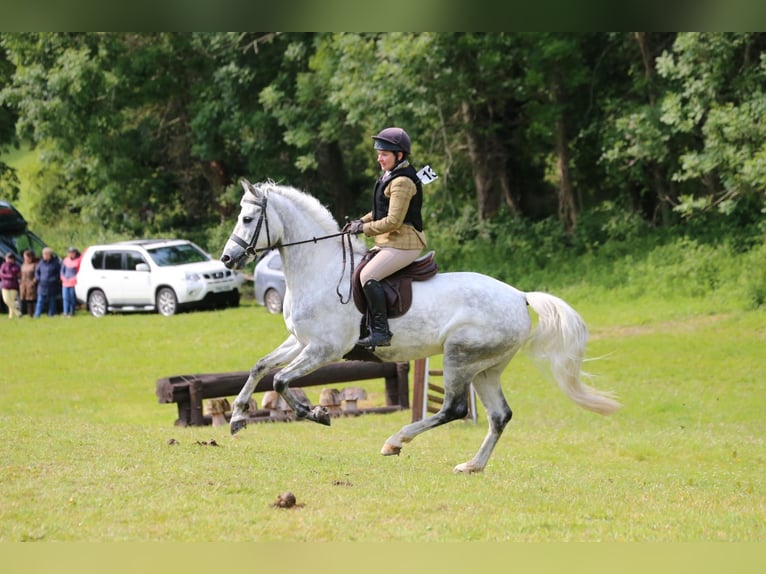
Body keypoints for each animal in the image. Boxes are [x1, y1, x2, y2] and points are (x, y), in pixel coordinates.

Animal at [220, 179, 620, 473]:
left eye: (247, 219)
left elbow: (281, 380)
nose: (227, 258)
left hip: (460, 355)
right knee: (499, 415)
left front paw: (316, 415)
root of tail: (520, 296)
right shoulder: (299, 341)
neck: (319, 269)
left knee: (455, 409)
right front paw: (238, 417)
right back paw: (472, 465)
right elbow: (260, 367)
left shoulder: (324, 349)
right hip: (486, 367)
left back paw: (396, 441)